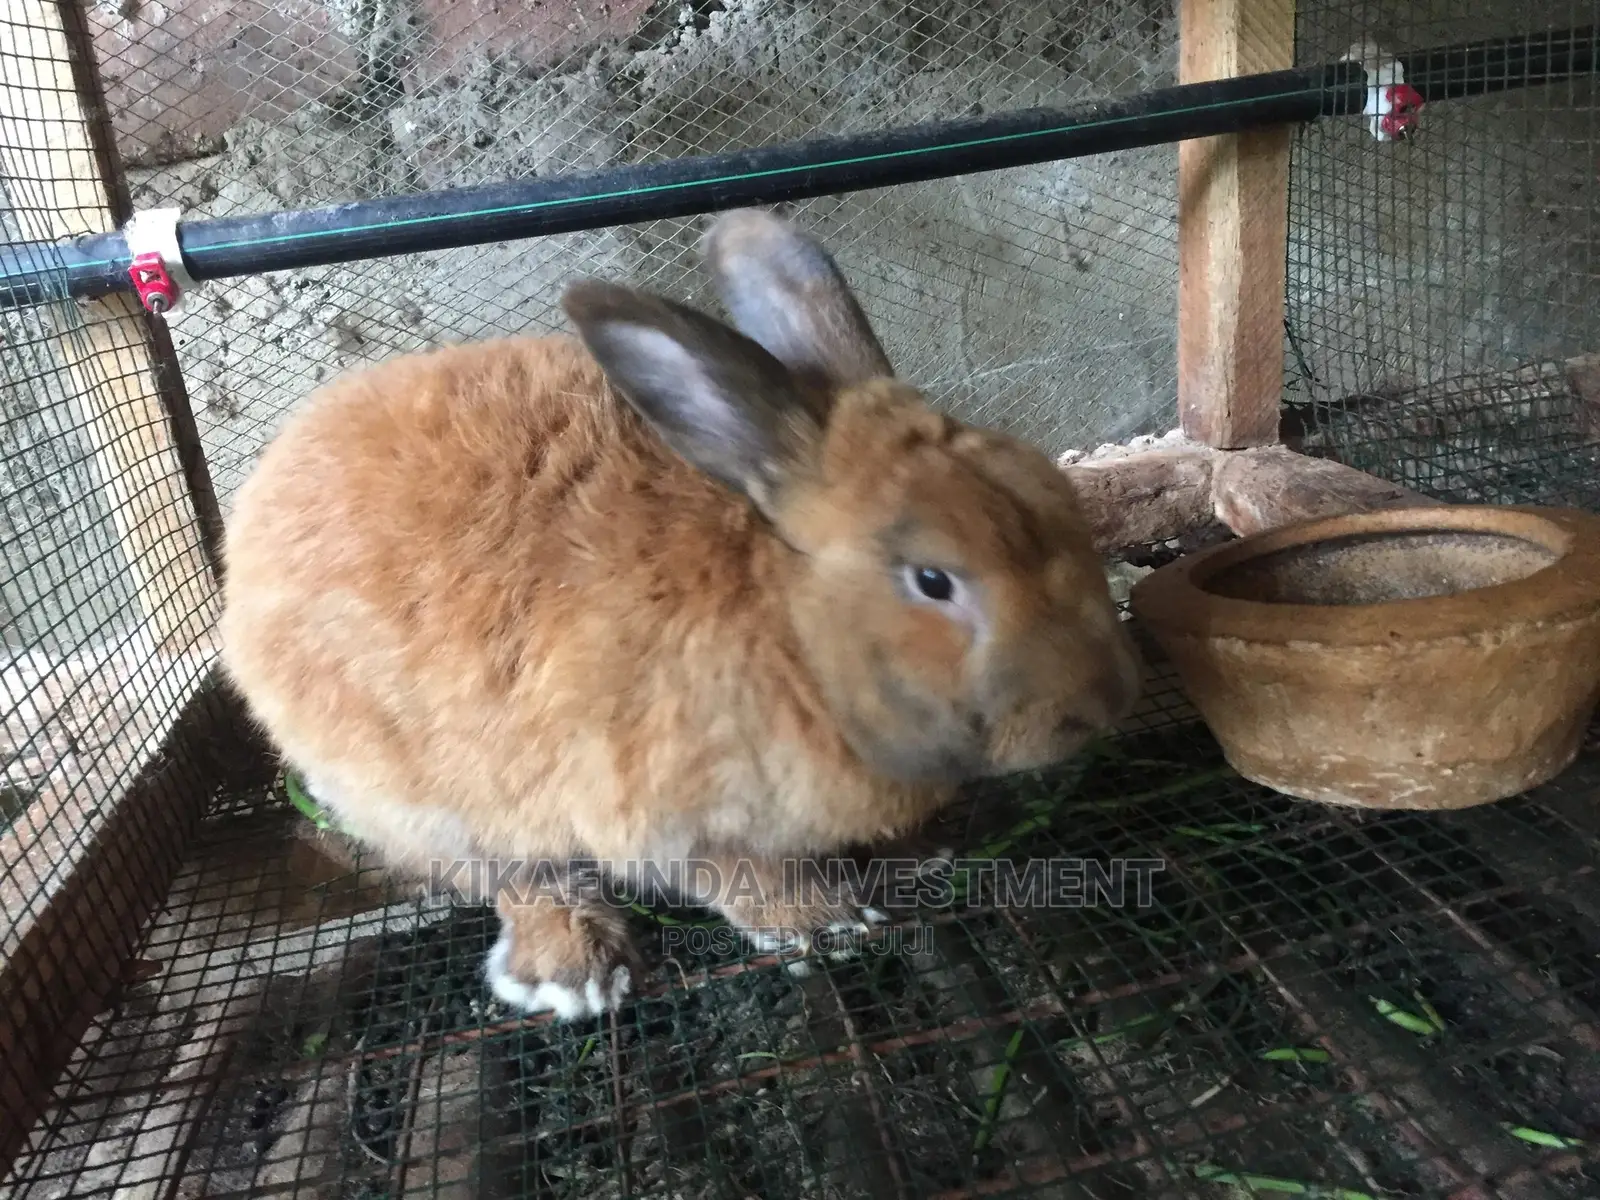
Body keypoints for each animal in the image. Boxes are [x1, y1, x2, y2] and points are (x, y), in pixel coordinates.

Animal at [217, 207, 1143, 1021]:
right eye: (933, 581)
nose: (1101, 706)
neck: (791, 630)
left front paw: (919, 857)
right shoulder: (675, 817)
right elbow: (742, 881)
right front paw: (827, 925)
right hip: (437, 801)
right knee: (514, 879)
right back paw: (576, 972)